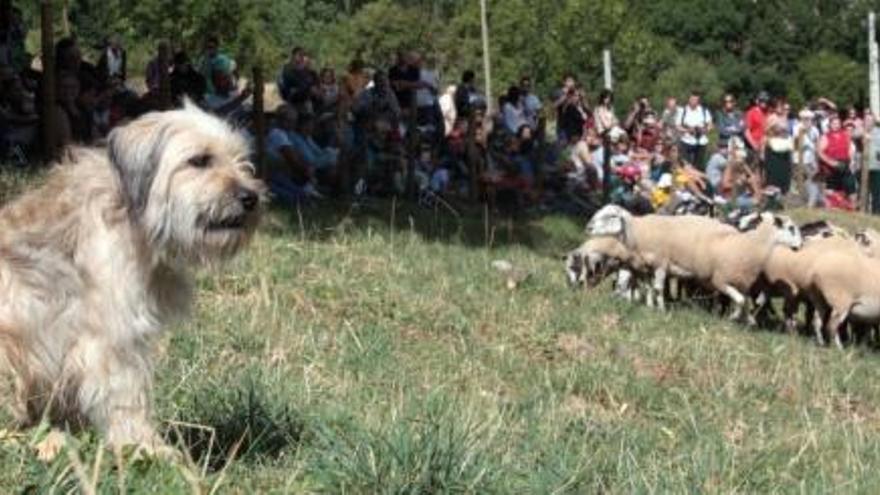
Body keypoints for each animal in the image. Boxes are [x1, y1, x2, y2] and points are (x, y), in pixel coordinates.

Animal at [0, 102, 264, 452]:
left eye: (241, 159)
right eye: (200, 160)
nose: (251, 197)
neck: (131, 218)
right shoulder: (112, 338)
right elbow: (126, 397)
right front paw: (145, 447)